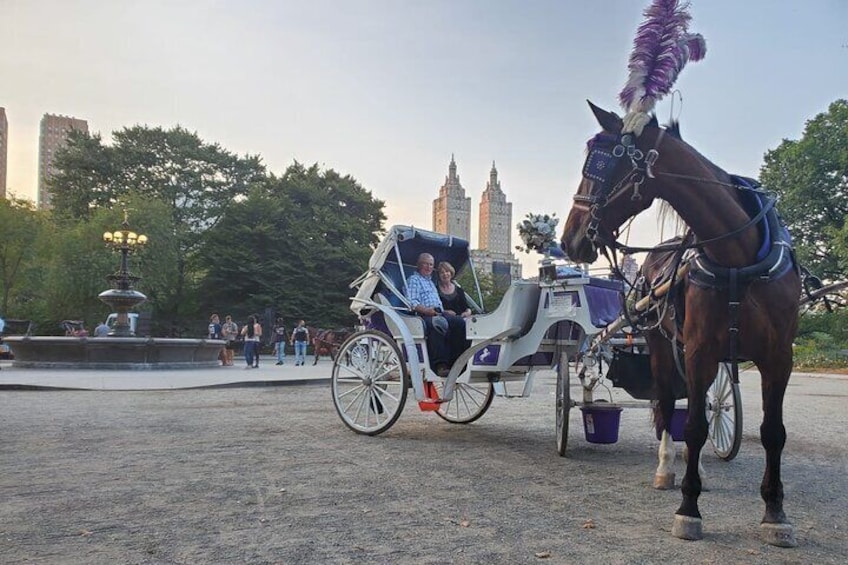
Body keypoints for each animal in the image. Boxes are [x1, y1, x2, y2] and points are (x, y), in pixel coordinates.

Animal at [564, 102, 800, 548]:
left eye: (600, 163)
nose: (570, 238)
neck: (738, 259)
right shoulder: (700, 350)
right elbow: (690, 425)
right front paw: (688, 508)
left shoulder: (778, 357)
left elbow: (772, 431)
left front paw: (776, 513)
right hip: (662, 344)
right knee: (666, 402)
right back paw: (667, 467)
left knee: (694, 403)